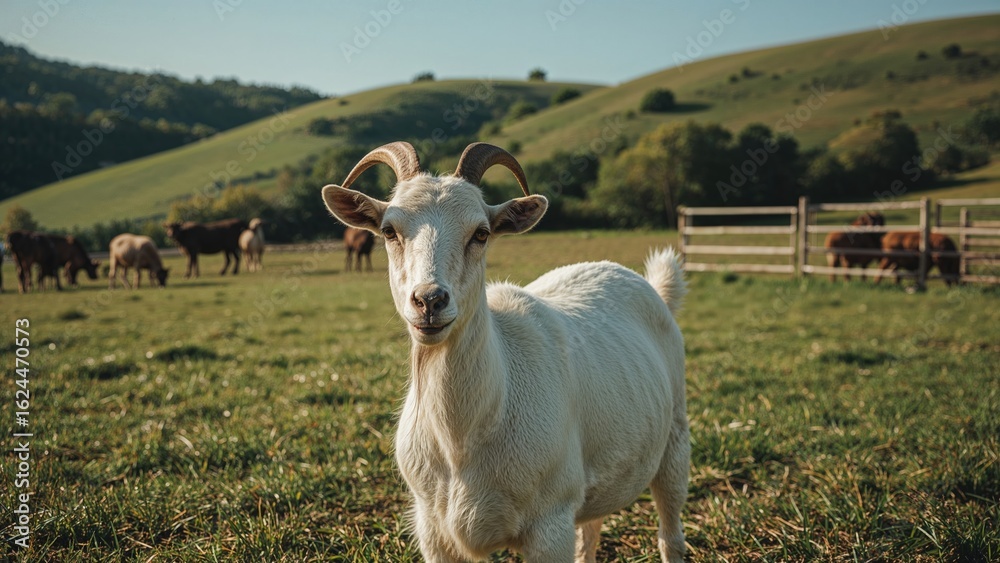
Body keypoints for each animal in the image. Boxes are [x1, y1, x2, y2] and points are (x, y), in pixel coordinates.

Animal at [322, 142, 689, 563]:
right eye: (388, 231)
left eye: (481, 233)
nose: (429, 300)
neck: (464, 439)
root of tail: (646, 283)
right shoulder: (433, 531)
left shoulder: (550, 525)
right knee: (590, 532)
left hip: (675, 438)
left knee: (670, 531)